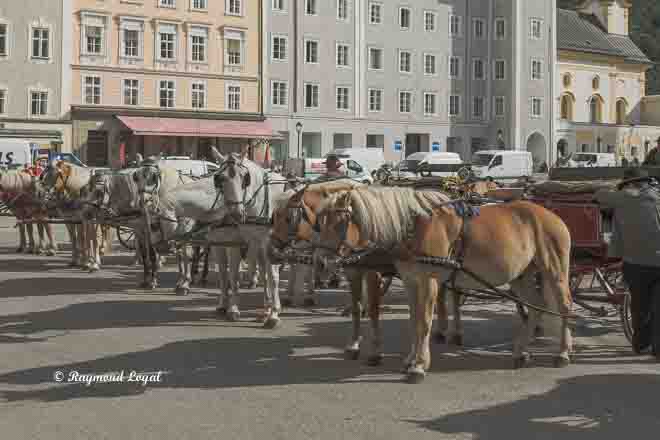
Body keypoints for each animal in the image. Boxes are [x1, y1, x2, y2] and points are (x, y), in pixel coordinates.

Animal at [213, 153, 288, 328]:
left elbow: (273, 278)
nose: (236, 214)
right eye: (220, 178)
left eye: (244, 178)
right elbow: (233, 274)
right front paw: (233, 309)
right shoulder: (237, 242)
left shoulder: (269, 243)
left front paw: (274, 315)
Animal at [316, 187, 572, 384]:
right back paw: (521, 352)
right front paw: (410, 360)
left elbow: (424, 322)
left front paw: (419, 366)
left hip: (554, 269)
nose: (322, 262)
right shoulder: (411, 281)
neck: (415, 227)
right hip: (521, 276)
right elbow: (414, 321)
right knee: (537, 306)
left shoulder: (429, 281)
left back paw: (563, 353)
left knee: (564, 306)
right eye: (321, 223)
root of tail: (551, 215)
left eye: (340, 222)